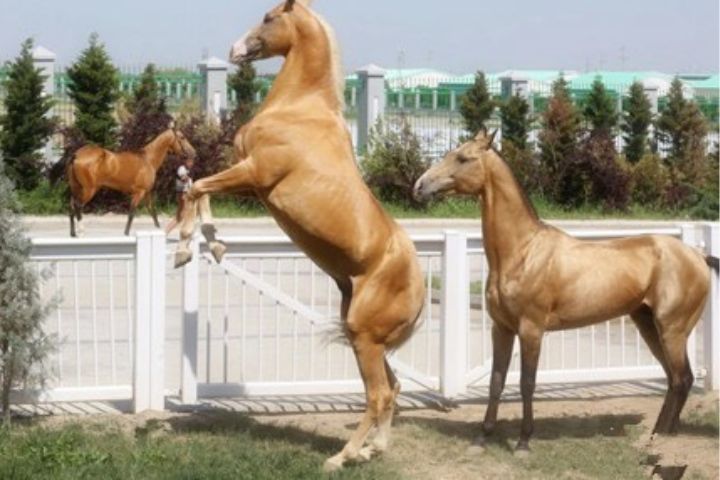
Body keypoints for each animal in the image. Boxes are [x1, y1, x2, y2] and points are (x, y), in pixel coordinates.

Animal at [66, 125, 196, 237]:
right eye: (182, 137)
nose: (193, 152)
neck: (147, 159)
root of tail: (76, 155)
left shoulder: (147, 193)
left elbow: (152, 211)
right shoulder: (139, 193)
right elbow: (132, 213)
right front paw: (126, 233)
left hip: (77, 188)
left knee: (72, 206)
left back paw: (73, 234)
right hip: (89, 189)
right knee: (78, 206)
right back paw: (81, 231)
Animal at [174, 0, 425, 471]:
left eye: (269, 16)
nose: (235, 49)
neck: (298, 109)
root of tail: (420, 291)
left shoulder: (255, 172)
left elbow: (196, 187)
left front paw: (183, 246)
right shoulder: (250, 181)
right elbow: (199, 188)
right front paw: (213, 242)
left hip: (365, 339)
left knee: (378, 395)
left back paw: (342, 457)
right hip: (366, 339)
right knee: (393, 389)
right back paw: (373, 449)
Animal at [413, 130, 710, 454]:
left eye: (463, 158)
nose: (420, 186)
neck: (523, 251)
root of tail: (698, 256)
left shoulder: (531, 330)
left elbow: (527, 383)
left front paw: (523, 442)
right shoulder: (501, 328)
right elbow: (496, 381)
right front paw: (482, 437)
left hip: (672, 329)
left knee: (682, 379)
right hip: (648, 325)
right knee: (675, 380)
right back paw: (658, 439)